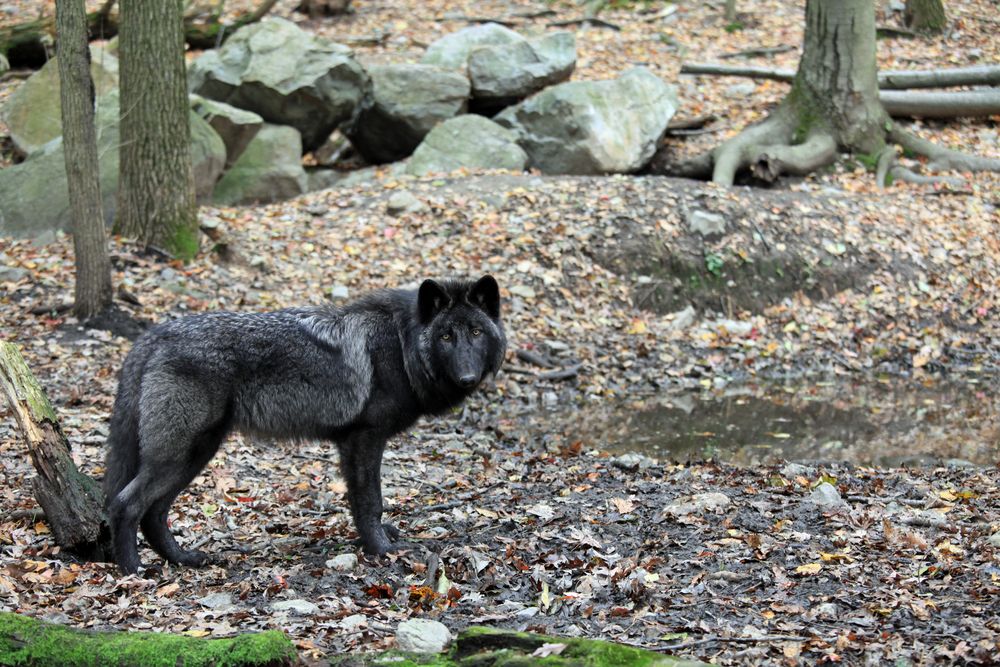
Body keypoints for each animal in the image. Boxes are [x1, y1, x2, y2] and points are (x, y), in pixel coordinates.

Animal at [103, 276, 505, 574]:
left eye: (475, 333)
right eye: (446, 336)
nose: (468, 378)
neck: (400, 345)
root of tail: (150, 337)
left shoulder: (351, 444)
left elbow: (362, 502)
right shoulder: (364, 439)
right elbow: (370, 501)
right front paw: (381, 549)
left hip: (196, 454)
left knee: (154, 514)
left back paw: (184, 559)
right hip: (180, 454)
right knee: (126, 504)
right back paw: (133, 571)